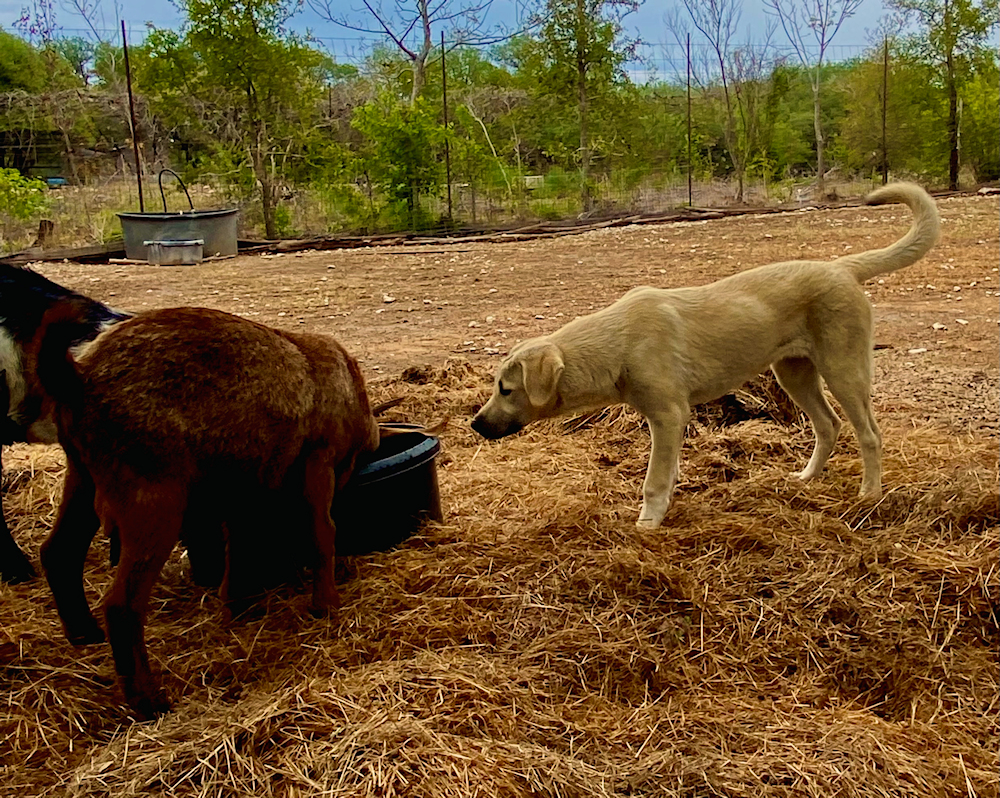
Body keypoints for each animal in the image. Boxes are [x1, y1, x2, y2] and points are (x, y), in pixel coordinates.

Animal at [32, 304, 378, 720]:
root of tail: (79, 377)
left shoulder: (247, 484)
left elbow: (240, 544)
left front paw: (239, 607)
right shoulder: (318, 463)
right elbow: (322, 533)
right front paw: (325, 604)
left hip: (82, 477)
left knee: (59, 553)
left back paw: (84, 634)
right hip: (153, 498)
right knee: (121, 606)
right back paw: (149, 701)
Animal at [472, 184, 940, 528]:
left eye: (506, 389)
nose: (475, 424)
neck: (617, 344)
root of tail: (842, 267)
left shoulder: (668, 415)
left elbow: (653, 481)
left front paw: (647, 524)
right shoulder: (667, 421)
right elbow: (669, 472)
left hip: (844, 371)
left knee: (869, 434)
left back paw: (869, 495)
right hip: (794, 374)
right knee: (829, 426)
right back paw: (806, 479)